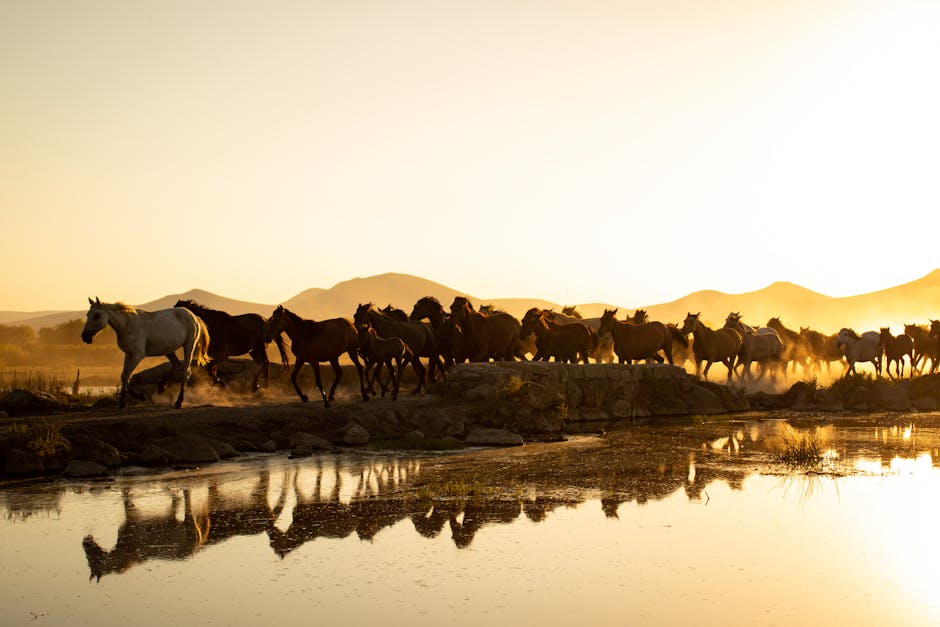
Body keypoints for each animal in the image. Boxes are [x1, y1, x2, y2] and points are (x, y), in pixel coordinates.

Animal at [81, 300, 210, 412]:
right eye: (88, 314)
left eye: (96, 315)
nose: (84, 337)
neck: (127, 325)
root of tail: (194, 317)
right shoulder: (128, 354)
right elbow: (124, 376)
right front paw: (123, 403)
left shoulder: (137, 355)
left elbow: (126, 375)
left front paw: (139, 397)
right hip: (169, 350)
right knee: (176, 365)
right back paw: (162, 386)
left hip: (189, 346)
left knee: (185, 372)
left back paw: (178, 402)